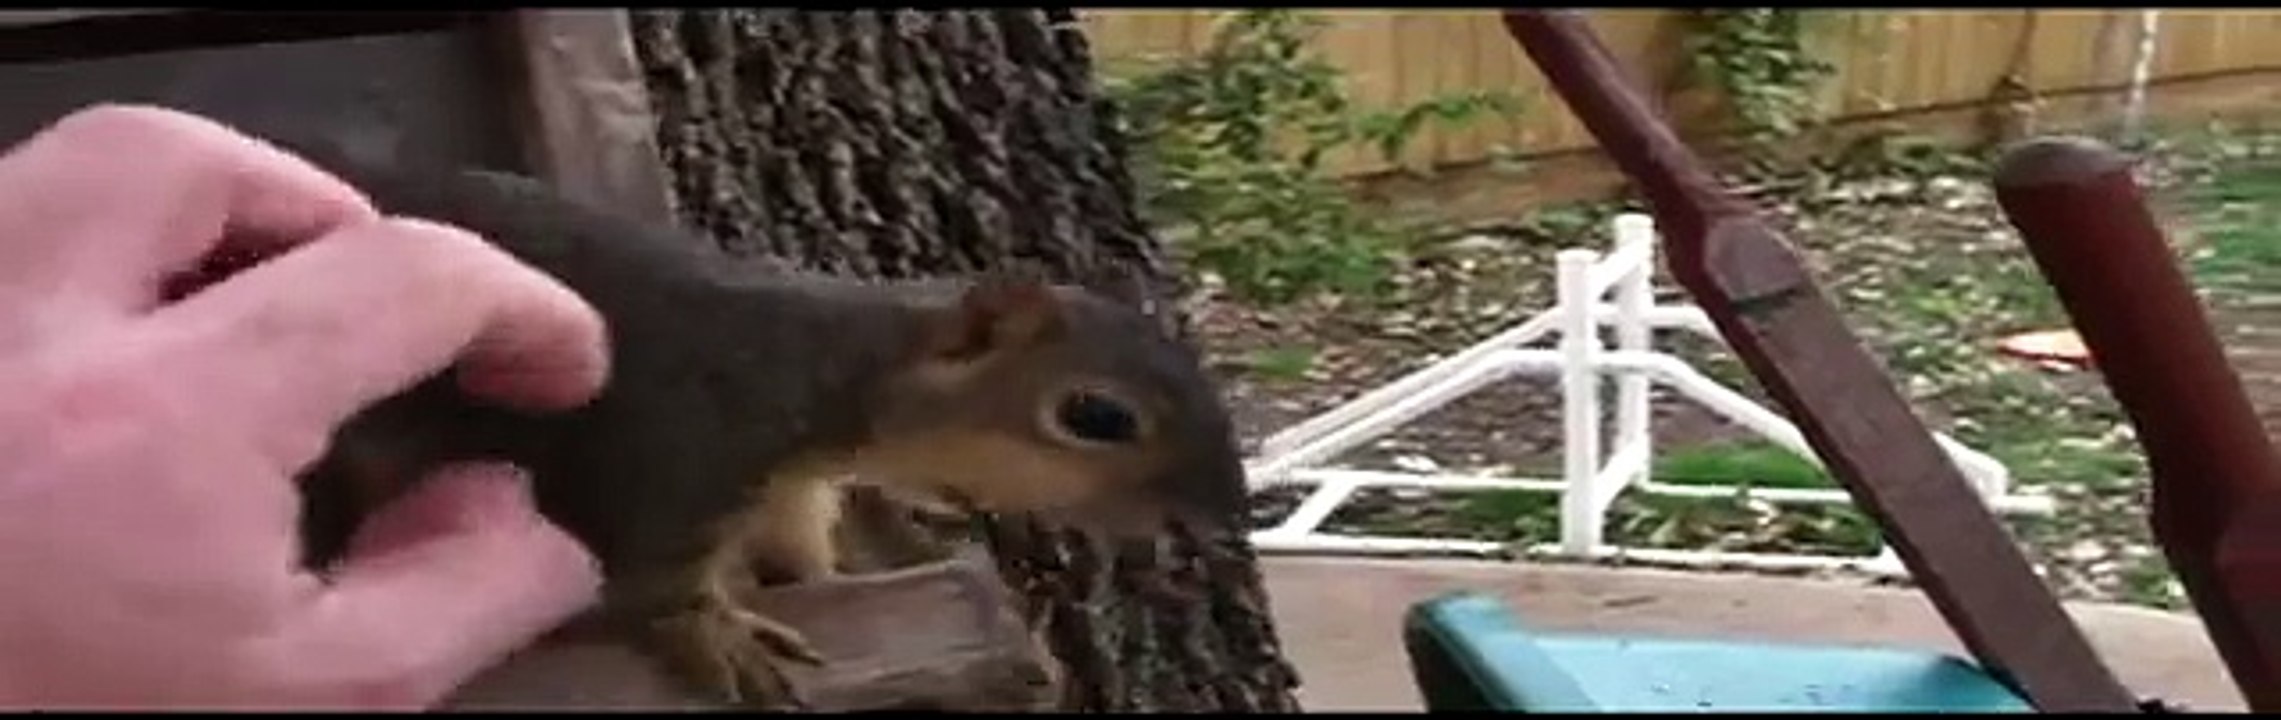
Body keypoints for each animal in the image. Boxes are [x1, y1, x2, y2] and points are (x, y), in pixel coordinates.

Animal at [162, 136, 1252, 708]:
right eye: (1095, 414)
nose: (1225, 517)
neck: (817, 383)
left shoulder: (792, 497)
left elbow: (814, 556)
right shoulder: (679, 449)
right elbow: (653, 579)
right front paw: (723, 639)